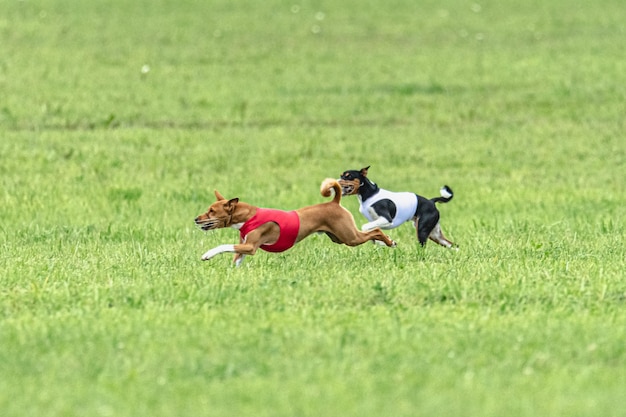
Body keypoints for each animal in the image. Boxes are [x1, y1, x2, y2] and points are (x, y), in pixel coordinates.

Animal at [194, 178, 394, 264]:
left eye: (211, 211)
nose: (196, 219)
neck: (248, 217)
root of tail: (334, 202)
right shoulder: (243, 246)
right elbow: (235, 259)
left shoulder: (250, 247)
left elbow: (223, 246)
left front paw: (207, 254)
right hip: (338, 237)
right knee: (370, 233)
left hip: (349, 237)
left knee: (375, 231)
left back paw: (389, 242)